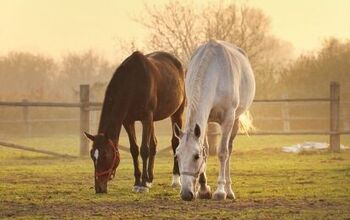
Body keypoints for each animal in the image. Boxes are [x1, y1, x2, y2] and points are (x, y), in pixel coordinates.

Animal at [84, 50, 186, 193]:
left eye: (104, 155)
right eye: (92, 155)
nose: (99, 188)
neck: (134, 82)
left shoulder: (146, 118)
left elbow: (144, 150)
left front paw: (142, 185)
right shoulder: (128, 121)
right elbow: (134, 149)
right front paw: (138, 182)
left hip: (177, 113)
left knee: (175, 142)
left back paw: (176, 180)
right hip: (153, 120)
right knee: (154, 144)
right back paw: (150, 179)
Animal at [174, 40, 256, 201]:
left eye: (195, 156)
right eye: (177, 156)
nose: (186, 194)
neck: (215, 73)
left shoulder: (228, 119)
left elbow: (222, 153)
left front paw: (220, 191)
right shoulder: (204, 121)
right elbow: (205, 148)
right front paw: (203, 190)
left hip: (235, 121)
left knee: (229, 150)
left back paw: (229, 191)